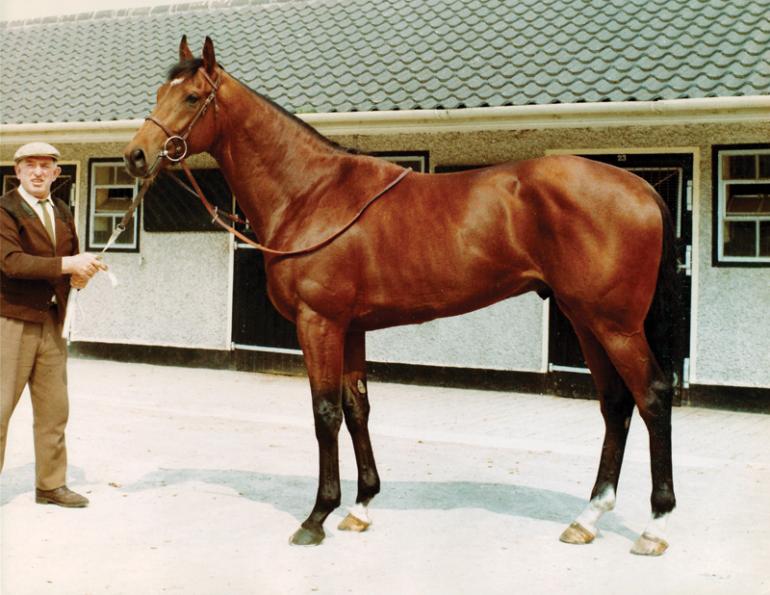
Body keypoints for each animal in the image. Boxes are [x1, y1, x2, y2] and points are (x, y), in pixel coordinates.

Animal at [124, 36, 677, 556]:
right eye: (159, 92)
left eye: (192, 96)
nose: (136, 156)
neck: (311, 194)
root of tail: (642, 189)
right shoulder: (351, 328)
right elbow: (357, 409)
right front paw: (361, 507)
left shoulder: (318, 322)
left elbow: (324, 413)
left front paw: (317, 517)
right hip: (585, 319)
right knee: (615, 404)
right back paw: (587, 519)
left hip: (614, 325)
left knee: (651, 396)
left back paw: (655, 526)